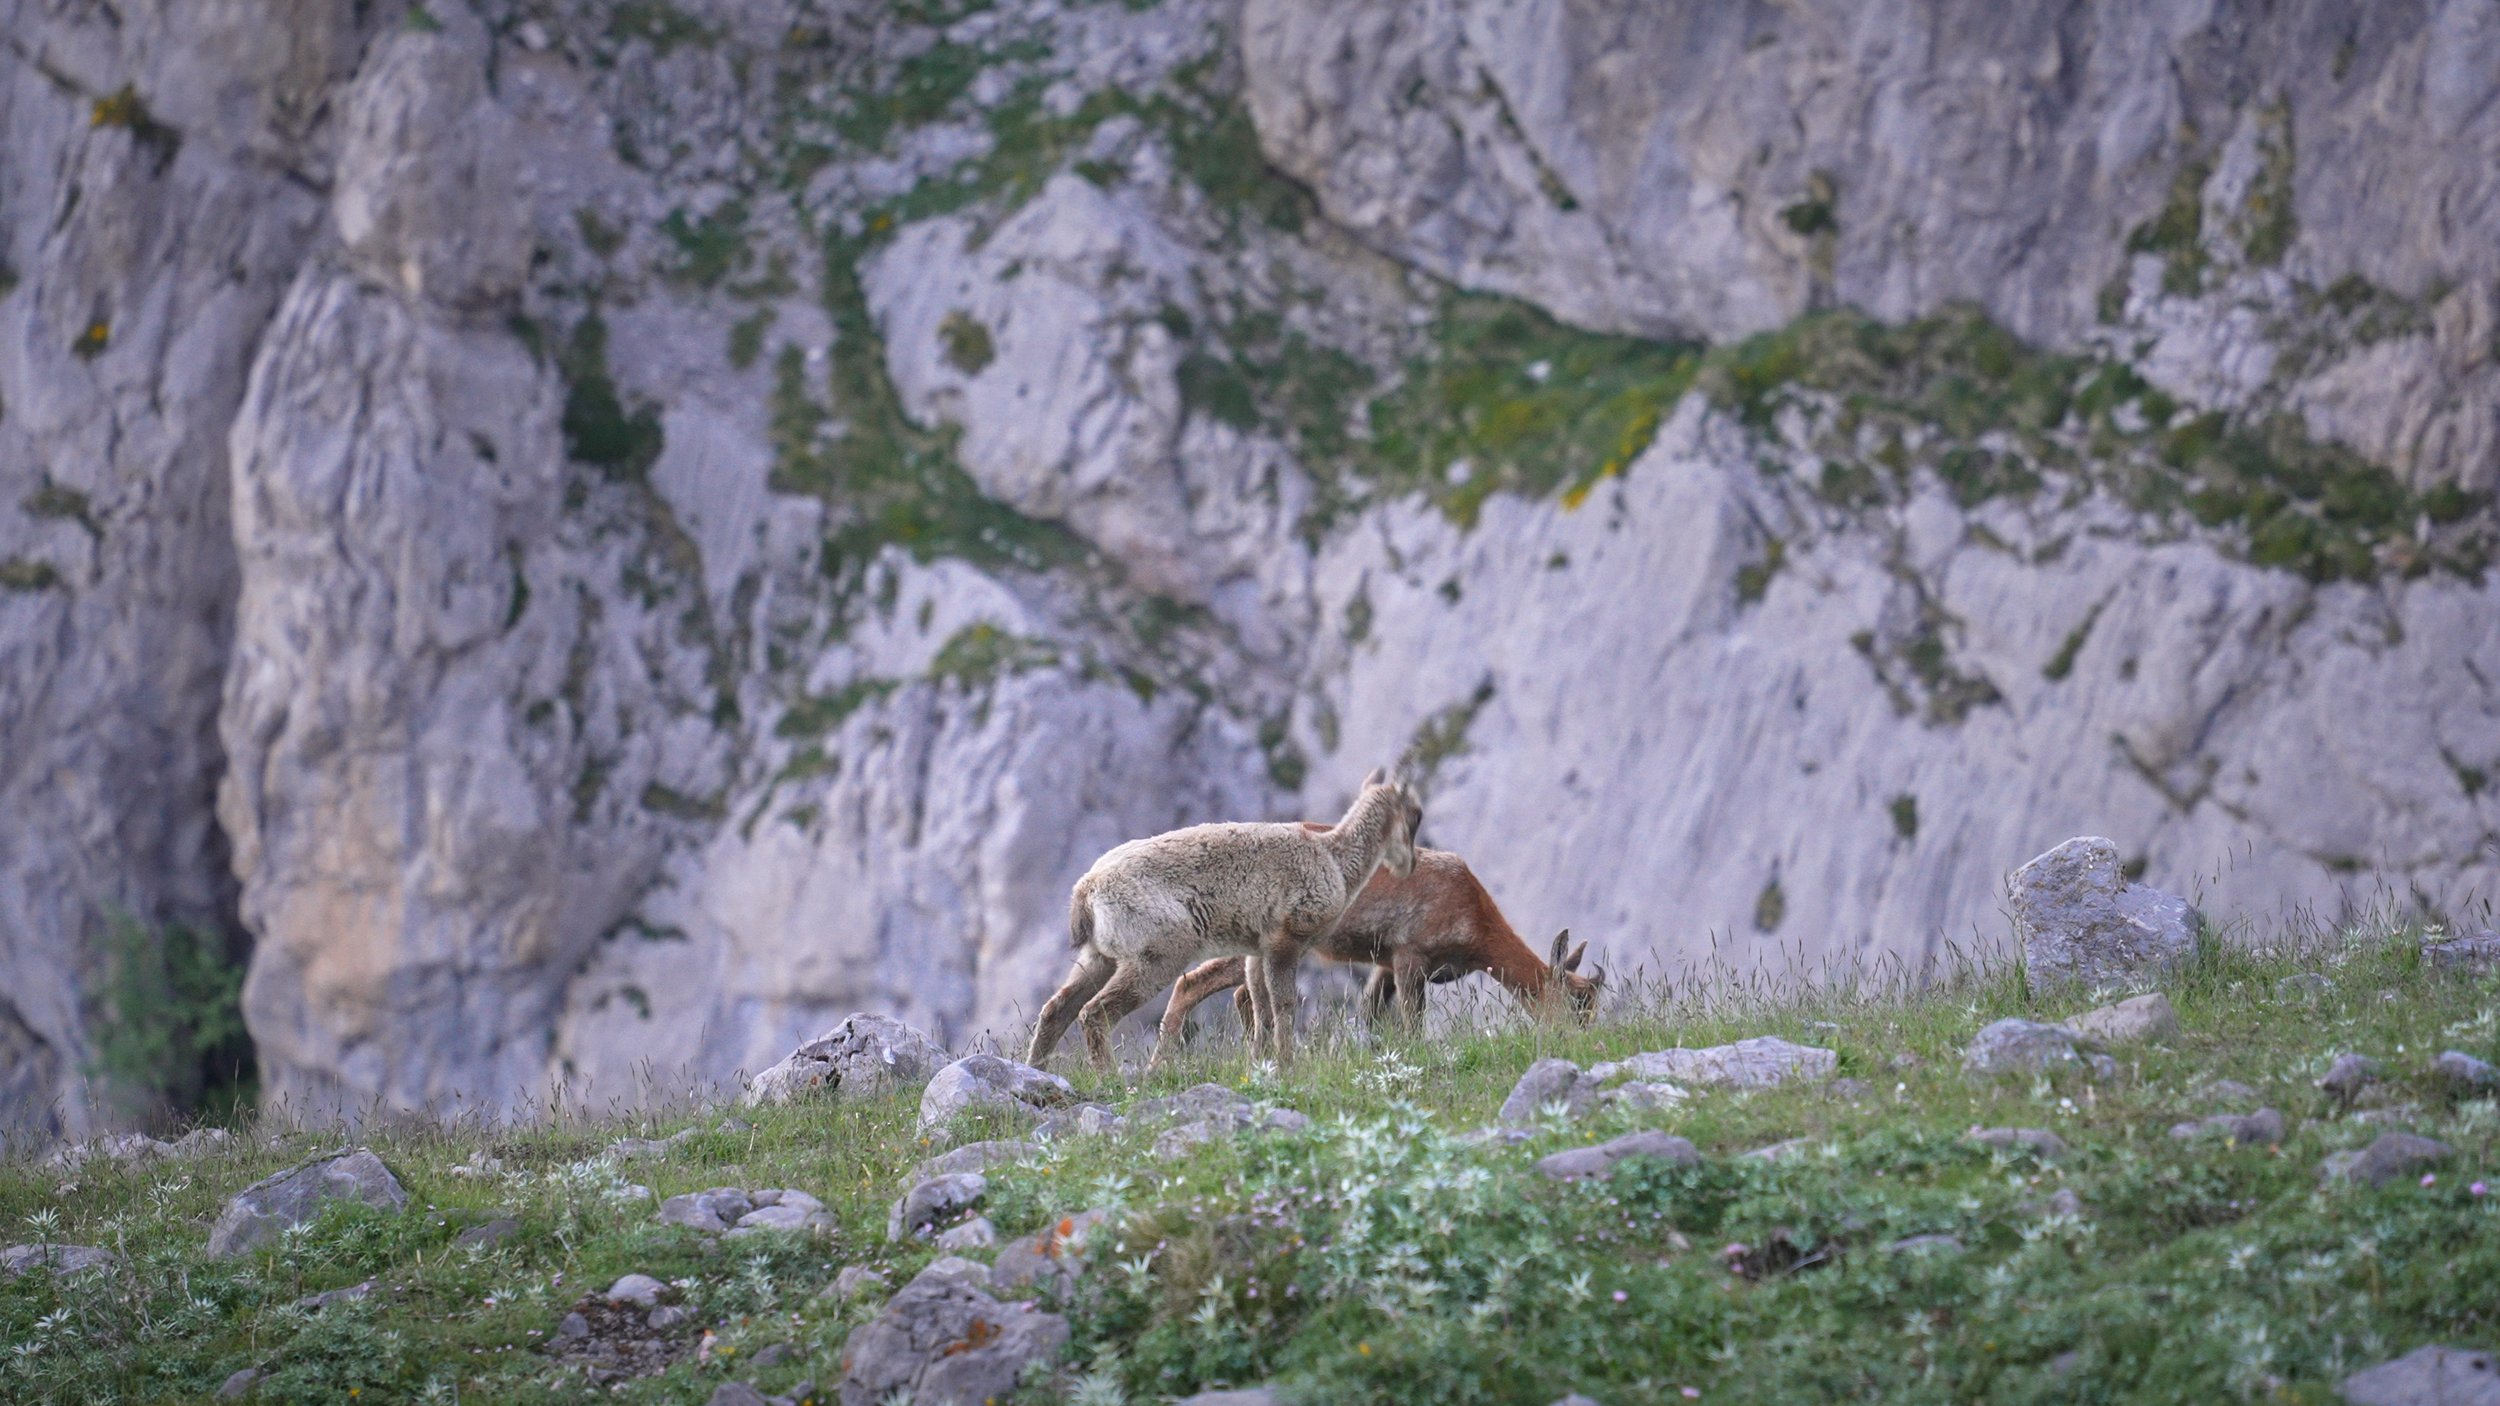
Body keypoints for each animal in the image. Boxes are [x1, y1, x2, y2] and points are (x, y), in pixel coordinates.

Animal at [1024, 768, 1423, 1074]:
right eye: (1416, 814)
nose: (1411, 864)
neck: (1333, 858)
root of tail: (1086, 889)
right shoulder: (1285, 942)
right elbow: (1283, 1005)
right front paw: (1287, 1064)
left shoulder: (1256, 951)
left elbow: (1261, 1007)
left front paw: (1261, 1063)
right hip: (1157, 957)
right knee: (1095, 1013)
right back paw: (1110, 1078)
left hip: (1098, 958)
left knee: (1056, 1009)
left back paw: (1038, 1072)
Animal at [1158, 847, 1599, 1046]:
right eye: (1577, 1001)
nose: (1584, 1041)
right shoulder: (1409, 953)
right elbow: (1411, 1020)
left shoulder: (1385, 962)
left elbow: (1370, 1012)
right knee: (1194, 984)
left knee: (1233, 993)